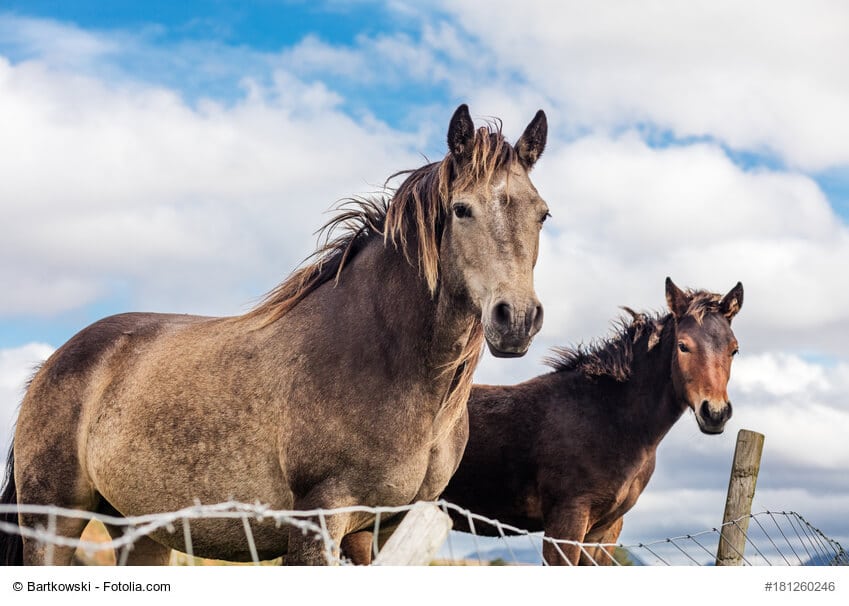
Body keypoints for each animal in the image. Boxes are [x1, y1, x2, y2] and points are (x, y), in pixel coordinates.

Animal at [0, 104, 550, 565]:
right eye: (462, 209)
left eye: (542, 213)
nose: (516, 319)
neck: (386, 360)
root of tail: (53, 363)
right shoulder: (317, 521)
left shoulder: (387, 530)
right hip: (53, 522)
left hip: (143, 532)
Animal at [440, 277, 743, 565]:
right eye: (683, 346)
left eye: (734, 350)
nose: (715, 412)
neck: (609, 417)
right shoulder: (566, 521)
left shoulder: (604, 531)